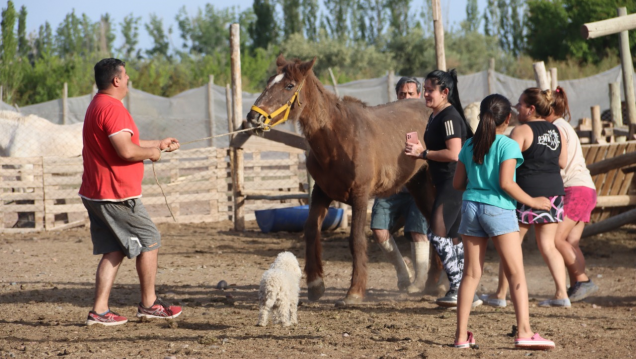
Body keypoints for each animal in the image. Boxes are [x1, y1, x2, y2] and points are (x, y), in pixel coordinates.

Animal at [246, 57, 440, 306]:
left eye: (289, 85)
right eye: (270, 81)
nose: (254, 118)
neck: (338, 140)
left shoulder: (360, 196)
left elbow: (356, 239)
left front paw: (354, 291)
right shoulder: (321, 192)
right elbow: (311, 230)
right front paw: (315, 284)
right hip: (419, 186)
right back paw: (434, 283)